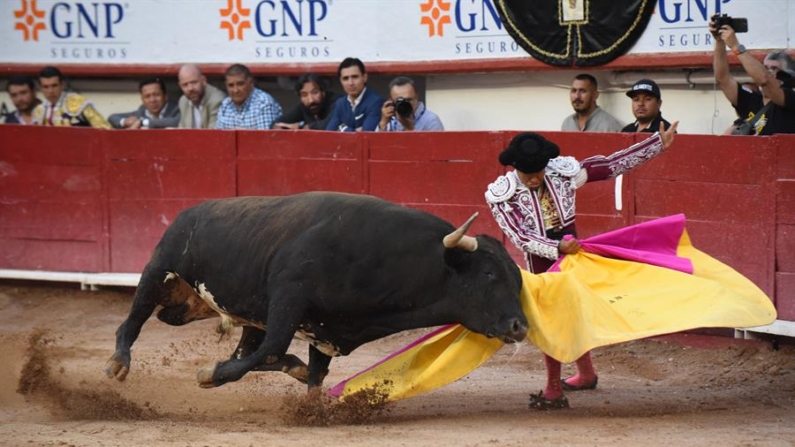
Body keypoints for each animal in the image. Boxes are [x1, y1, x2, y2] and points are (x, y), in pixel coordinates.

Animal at [104, 194, 528, 390]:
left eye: (518, 278)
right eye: (488, 273)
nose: (520, 327)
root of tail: (189, 212)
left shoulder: (326, 332)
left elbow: (310, 374)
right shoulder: (288, 299)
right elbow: (274, 350)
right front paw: (209, 373)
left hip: (234, 313)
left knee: (248, 349)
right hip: (159, 269)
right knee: (131, 322)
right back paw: (117, 364)